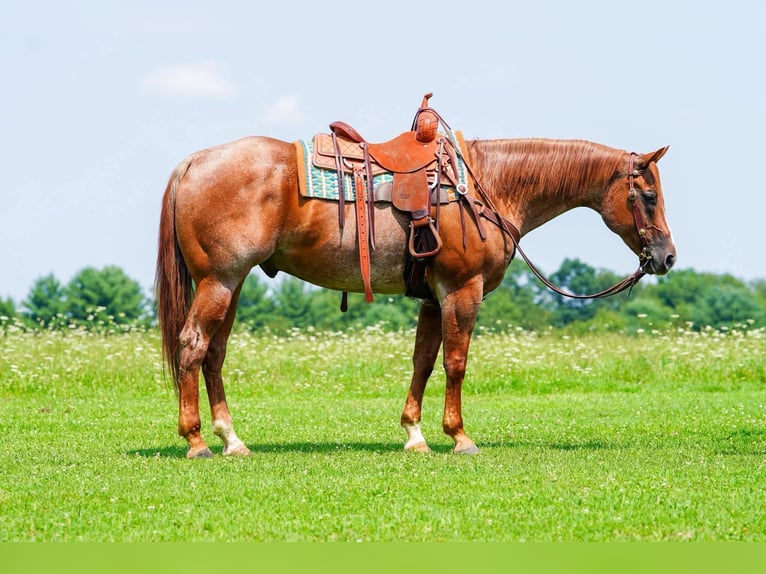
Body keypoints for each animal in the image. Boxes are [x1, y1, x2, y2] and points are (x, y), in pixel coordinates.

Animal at [155, 130, 676, 458]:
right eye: (649, 196)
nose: (667, 257)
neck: (486, 186)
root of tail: (193, 163)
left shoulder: (431, 296)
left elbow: (423, 361)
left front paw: (414, 434)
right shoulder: (462, 291)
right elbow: (456, 363)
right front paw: (459, 436)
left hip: (231, 284)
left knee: (215, 355)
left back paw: (232, 440)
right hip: (220, 281)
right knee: (192, 347)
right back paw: (197, 442)